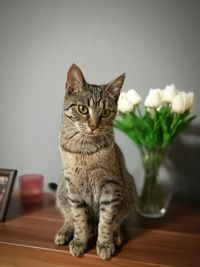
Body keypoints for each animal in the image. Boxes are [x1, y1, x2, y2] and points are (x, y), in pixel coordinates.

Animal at [55, 63, 138, 260]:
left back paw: (116, 234)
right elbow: (78, 219)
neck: (84, 150)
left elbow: (107, 220)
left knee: (118, 220)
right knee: (68, 216)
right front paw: (79, 241)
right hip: (62, 189)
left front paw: (104, 243)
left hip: (129, 191)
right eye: (83, 109)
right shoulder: (73, 187)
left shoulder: (111, 187)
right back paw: (65, 231)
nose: (93, 126)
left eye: (106, 112)